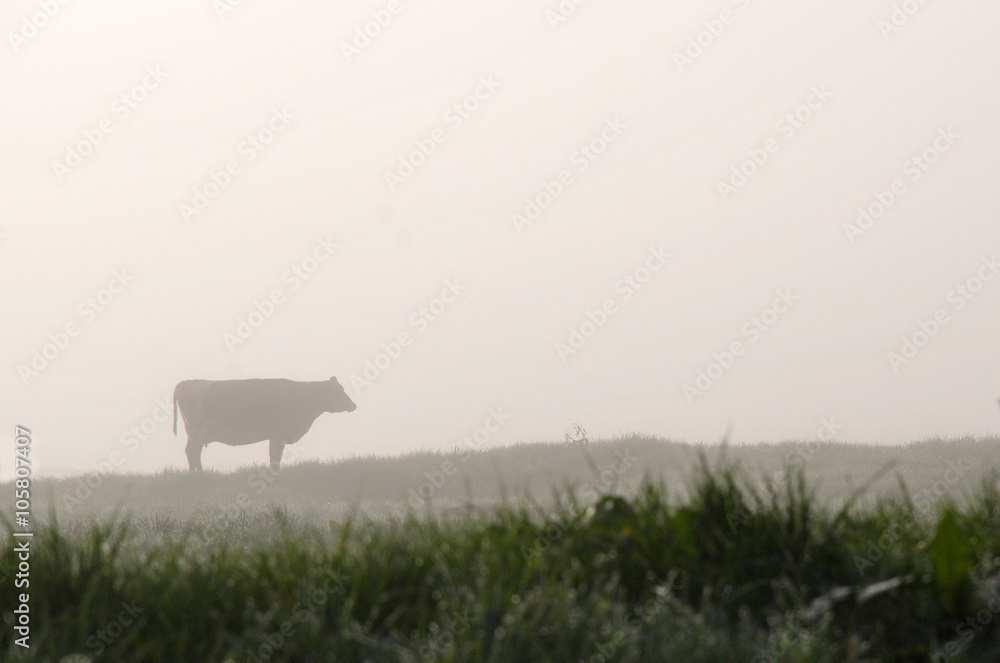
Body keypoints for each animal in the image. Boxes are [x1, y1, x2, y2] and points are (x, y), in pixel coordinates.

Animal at [174, 378, 358, 472]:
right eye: (339, 391)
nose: (353, 405)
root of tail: (184, 383)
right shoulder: (278, 434)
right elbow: (276, 457)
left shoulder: (274, 436)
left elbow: (274, 456)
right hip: (197, 433)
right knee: (192, 453)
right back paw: (198, 473)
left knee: (192, 453)